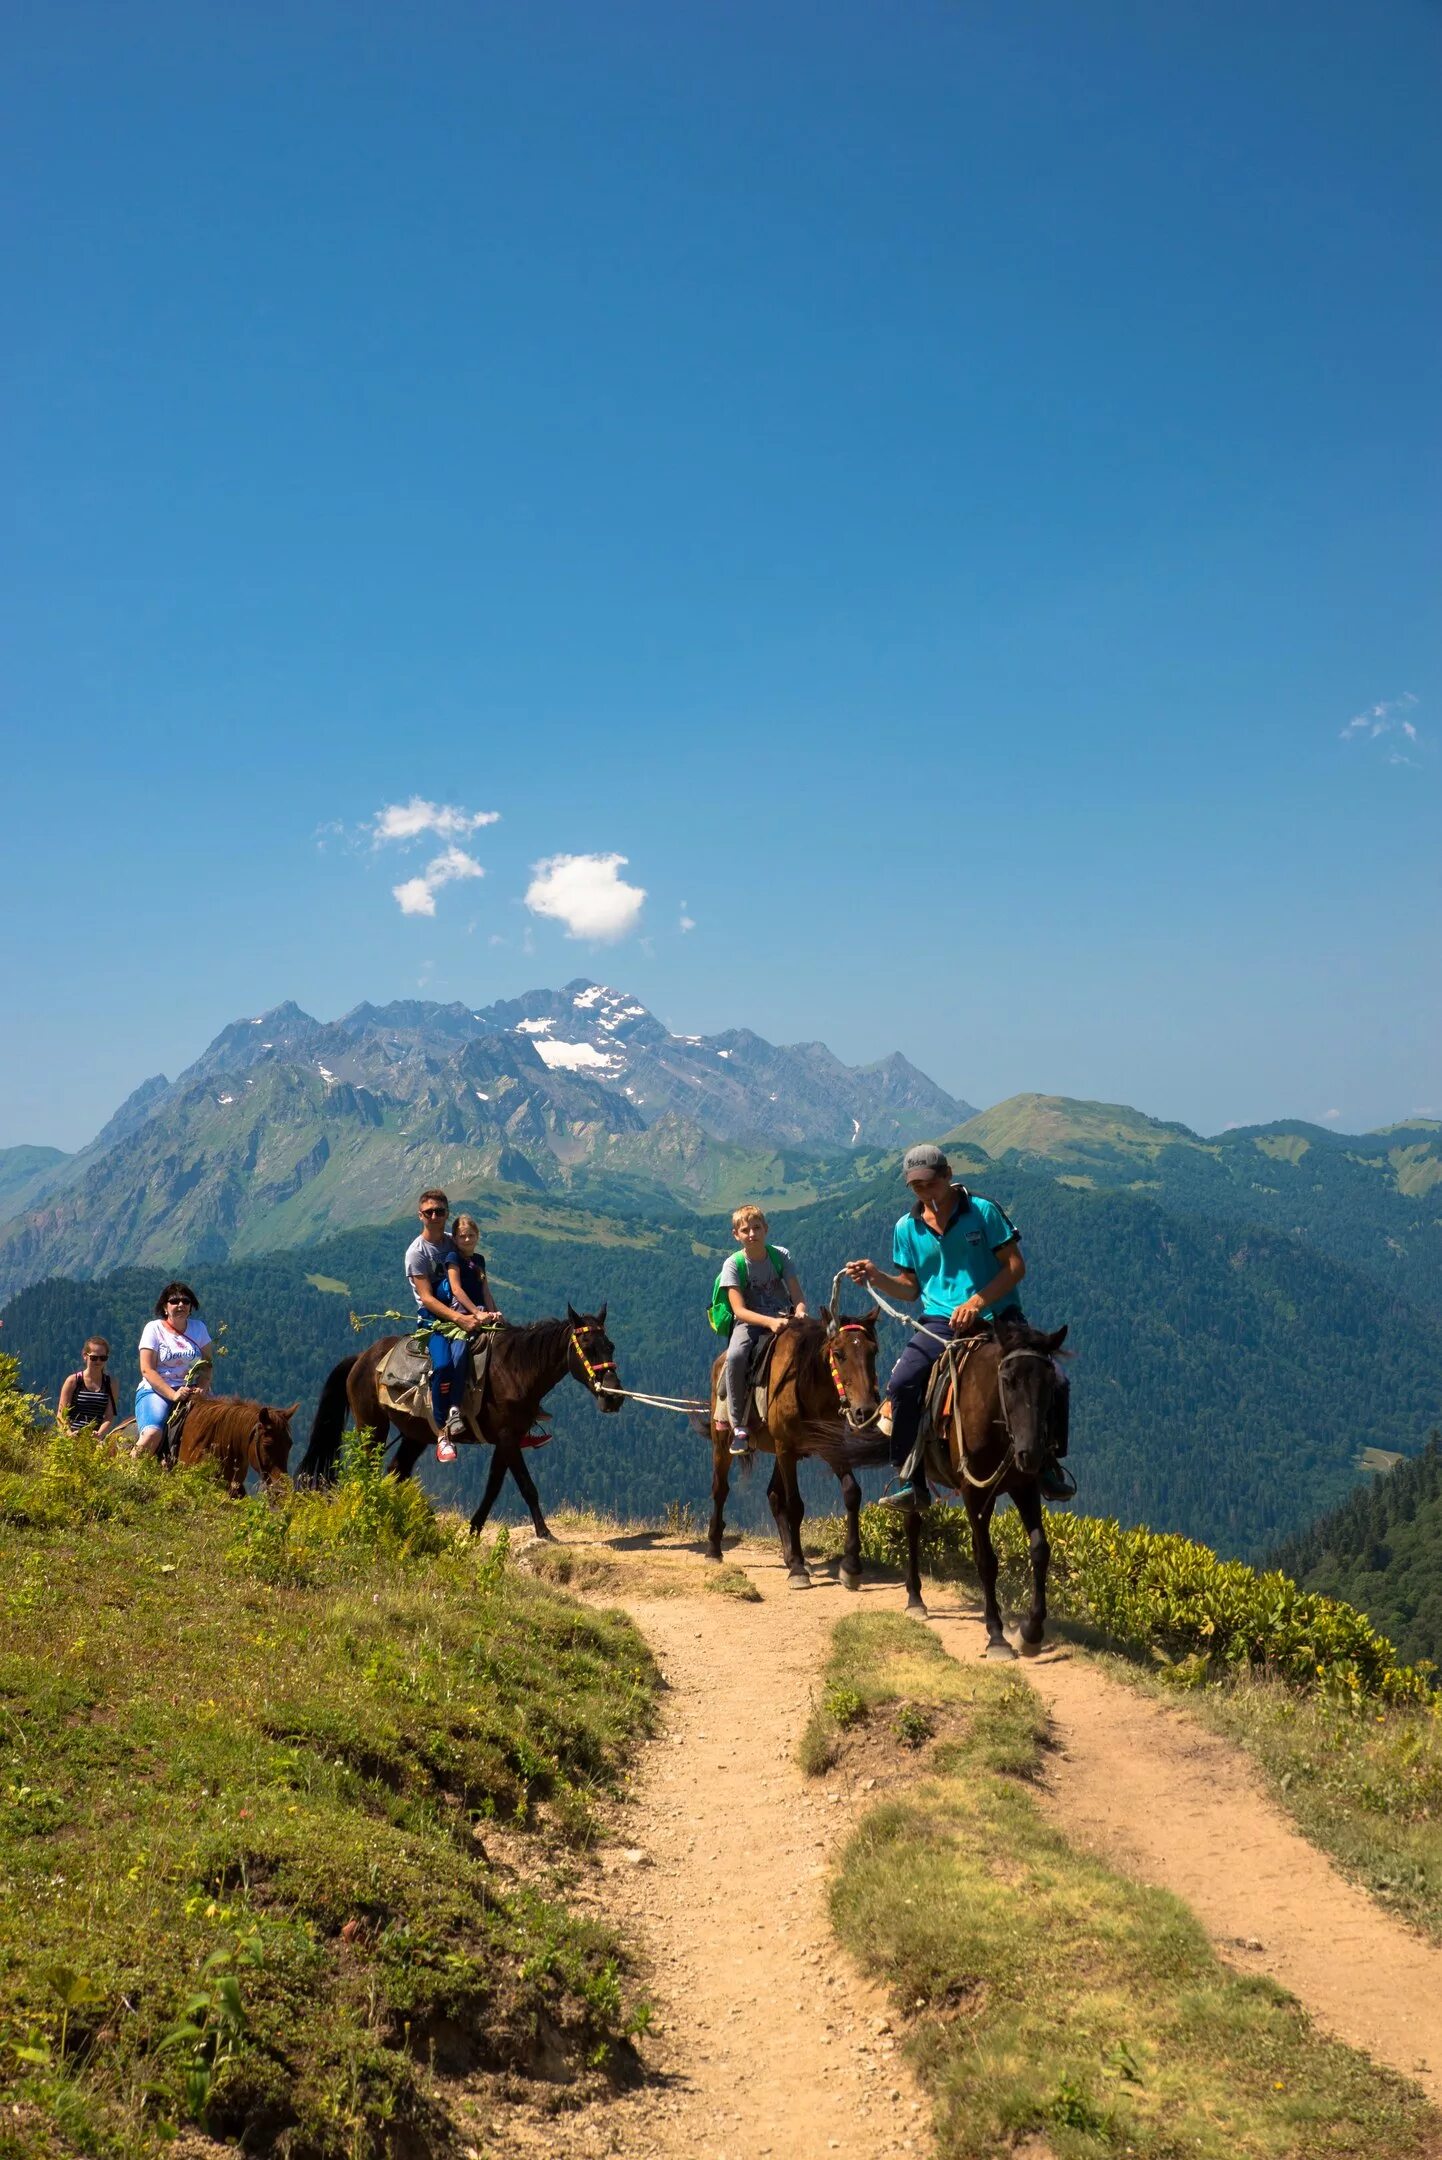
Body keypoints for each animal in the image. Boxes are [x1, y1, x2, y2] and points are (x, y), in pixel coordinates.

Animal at [708, 1304, 885, 1598]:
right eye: (839, 1353)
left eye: (873, 1351)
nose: (865, 1411)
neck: (808, 1384)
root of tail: (719, 1361)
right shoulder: (787, 1449)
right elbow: (795, 1505)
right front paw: (799, 1571)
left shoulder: (830, 1446)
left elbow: (852, 1492)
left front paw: (850, 1566)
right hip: (723, 1440)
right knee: (720, 1489)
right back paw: (713, 1549)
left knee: (773, 1495)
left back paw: (790, 1556)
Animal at [902, 1313, 1070, 1650]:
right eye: (1007, 1381)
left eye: (1050, 1385)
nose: (1031, 1453)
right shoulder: (972, 1492)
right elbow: (987, 1560)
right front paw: (996, 1635)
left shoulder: (1023, 1486)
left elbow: (1040, 1550)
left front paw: (1031, 1630)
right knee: (913, 1522)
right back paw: (915, 1598)